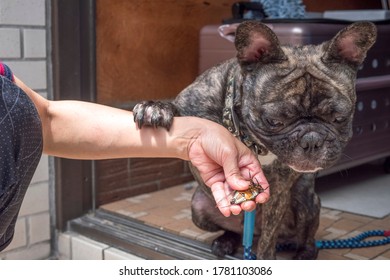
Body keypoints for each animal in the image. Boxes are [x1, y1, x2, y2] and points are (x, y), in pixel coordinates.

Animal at [133, 20, 376, 260]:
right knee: (232, 229)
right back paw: (226, 242)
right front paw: (155, 107)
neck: (253, 141)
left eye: (340, 118)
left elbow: (269, 237)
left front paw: (266, 257)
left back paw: (303, 253)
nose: (312, 140)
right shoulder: (191, 105)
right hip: (198, 208)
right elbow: (174, 108)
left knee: (303, 237)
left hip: (307, 202)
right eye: (274, 121)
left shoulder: (277, 190)